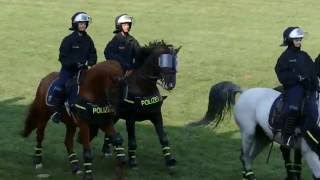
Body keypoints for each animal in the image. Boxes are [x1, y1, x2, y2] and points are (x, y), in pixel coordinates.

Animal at [89, 40, 181, 170]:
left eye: (175, 61)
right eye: (162, 61)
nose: (171, 84)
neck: (143, 87)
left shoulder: (156, 115)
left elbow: (163, 138)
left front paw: (170, 161)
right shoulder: (130, 119)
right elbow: (132, 141)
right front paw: (133, 162)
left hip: (115, 116)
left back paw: (107, 150)